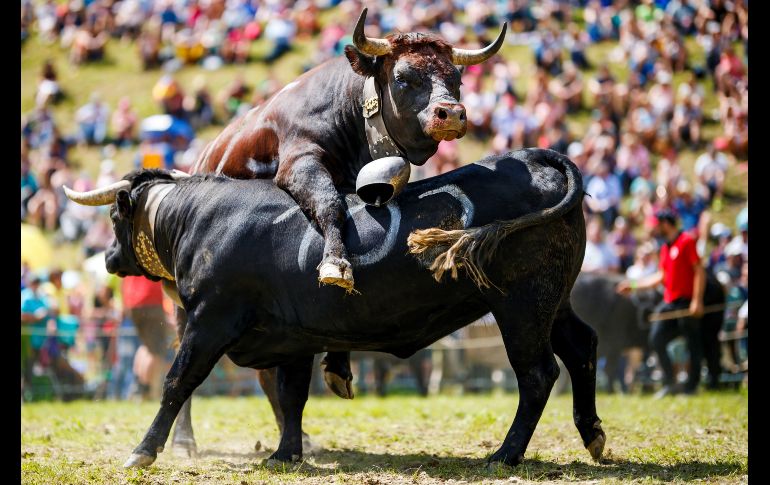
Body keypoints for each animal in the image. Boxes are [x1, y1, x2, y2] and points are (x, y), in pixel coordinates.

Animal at [64, 148, 605, 469]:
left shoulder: (208, 320)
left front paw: (143, 451)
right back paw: (592, 434)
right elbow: (291, 396)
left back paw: (505, 454)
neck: (200, 219)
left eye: (114, 217)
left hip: (520, 304)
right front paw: (285, 454)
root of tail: (535, 158)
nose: (108, 259)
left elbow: (178, 381)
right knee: (581, 348)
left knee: (537, 374)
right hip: (552, 301)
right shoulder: (294, 337)